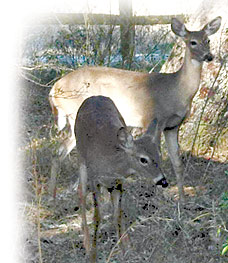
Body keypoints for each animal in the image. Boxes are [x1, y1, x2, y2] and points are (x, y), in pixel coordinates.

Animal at [49, 16, 221, 200]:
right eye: (192, 42)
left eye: (208, 40)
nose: (209, 56)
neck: (177, 90)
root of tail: (54, 89)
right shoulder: (154, 118)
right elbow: (158, 155)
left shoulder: (173, 126)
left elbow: (177, 163)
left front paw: (181, 199)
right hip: (75, 115)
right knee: (61, 151)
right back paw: (56, 194)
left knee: (60, 150)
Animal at [76, 96, 167, 262]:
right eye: (143, 159)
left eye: (158, 154)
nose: (162, 181)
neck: (111, 166)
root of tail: (94, 97)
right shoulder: (95, 180)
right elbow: (97, 217)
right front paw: (93, 254)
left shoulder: (118, 183)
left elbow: (117, 215)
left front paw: (125, 250)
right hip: (80, 158)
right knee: (81, 192)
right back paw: (86, 243)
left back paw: (127, 242)